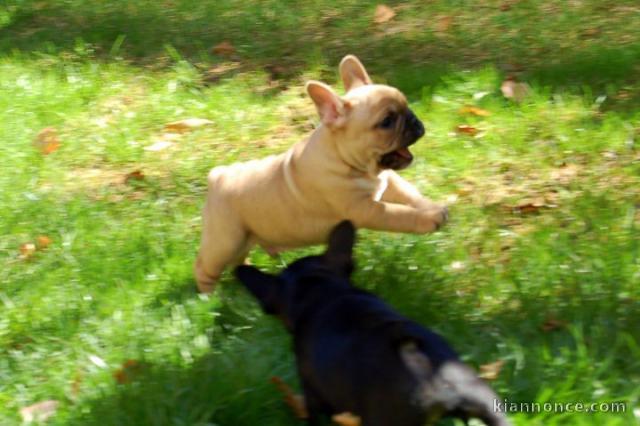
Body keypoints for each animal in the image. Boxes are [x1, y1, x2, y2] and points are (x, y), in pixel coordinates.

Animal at [192, 55, 448, 292]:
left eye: (406, 106)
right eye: (386, 121)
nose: (414, 120)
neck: (349, 161)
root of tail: (218, 175)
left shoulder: (389, 181)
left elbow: (410, 195)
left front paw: (432, 207)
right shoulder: (365, 210)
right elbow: (399, 214)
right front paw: (429, 218)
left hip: (241, 240)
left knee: (237, 260)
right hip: (225, 240)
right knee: (204, 267)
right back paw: (210, 298)